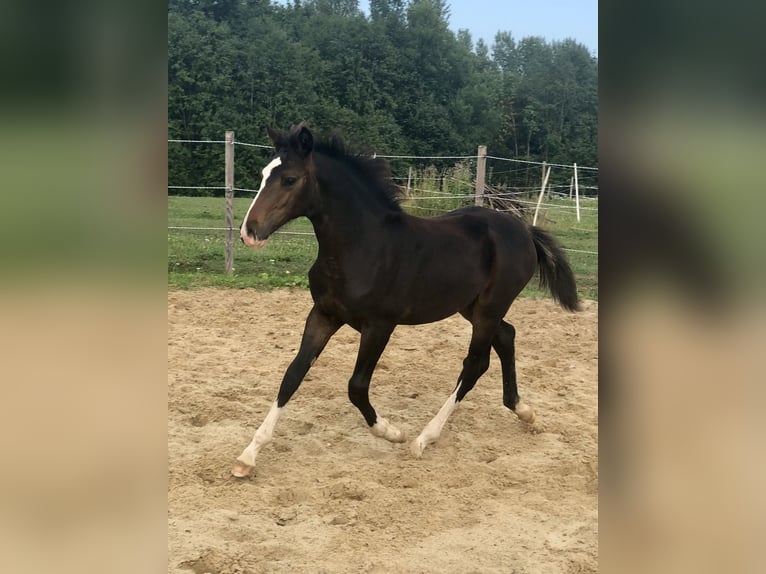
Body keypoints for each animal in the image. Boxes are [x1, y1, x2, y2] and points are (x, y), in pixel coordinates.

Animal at [231, 124, 580, 480]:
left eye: (289, 179)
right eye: (263, 174)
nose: (249, 232)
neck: (361, 246)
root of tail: (524, 230)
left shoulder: (379, 325)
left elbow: (356, 386)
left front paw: (391, 432)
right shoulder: (324, 314)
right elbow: (293, 375)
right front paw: (248, 456)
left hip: (489, 308)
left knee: (474, 364)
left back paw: (424, 438)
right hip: (471, 307)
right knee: (507, 336)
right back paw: (524, 412)